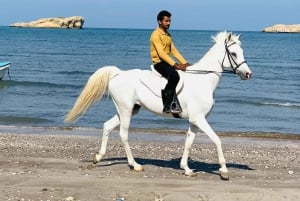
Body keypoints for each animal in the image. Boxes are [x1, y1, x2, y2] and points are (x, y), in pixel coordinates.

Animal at [65, 31, 251, 179]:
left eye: (241, 52)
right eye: (233, 53)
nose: (248, 74)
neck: (202, 79)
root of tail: (118, 73)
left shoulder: (194, 120)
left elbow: (188, 143)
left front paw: (186, 169)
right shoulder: (199, 119)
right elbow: (217, 140)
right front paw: (224, 170)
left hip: (128, 110)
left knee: (107, 126)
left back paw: (98, 157)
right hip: (125, 110)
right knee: (123, 134)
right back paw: (135, 165)